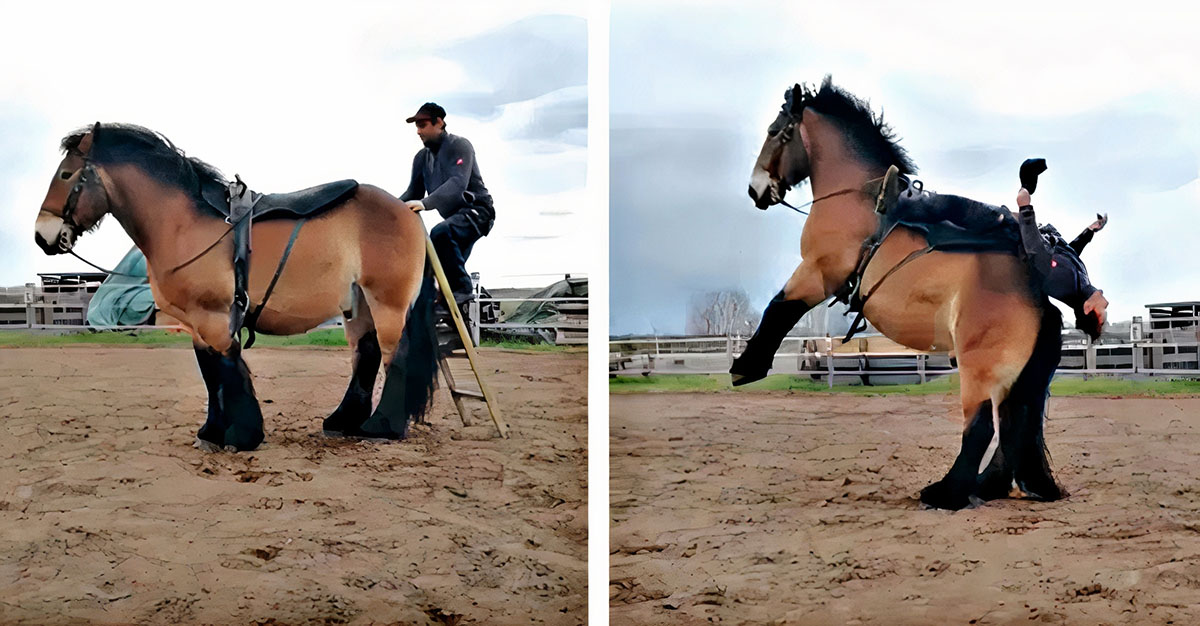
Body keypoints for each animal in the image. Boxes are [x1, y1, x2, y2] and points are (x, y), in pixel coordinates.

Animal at [36, 124, 441, 450]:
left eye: (67, 174)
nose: (43, 235)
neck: (183, 223)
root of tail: (407, 211)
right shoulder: (196, 323)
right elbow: (211, 372)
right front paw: (212, 432)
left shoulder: (214, 316)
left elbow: (229, 371)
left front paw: (240, 435)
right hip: (357, 305)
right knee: (366, 353)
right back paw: (343, 422)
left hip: (388, 302)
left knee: (395, 355)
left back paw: (382, 427)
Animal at [744, 76, 1065, 506]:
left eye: (775, 131)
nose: (755, 189)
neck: (859, 200)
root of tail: (1038, 299)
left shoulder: (818, 271)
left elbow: (779, 307)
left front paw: (746, 366)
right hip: (1009, 378)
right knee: (1009, 430)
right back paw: (986, 486)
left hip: (979, 367)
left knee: (981, 428)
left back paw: (946, 493)